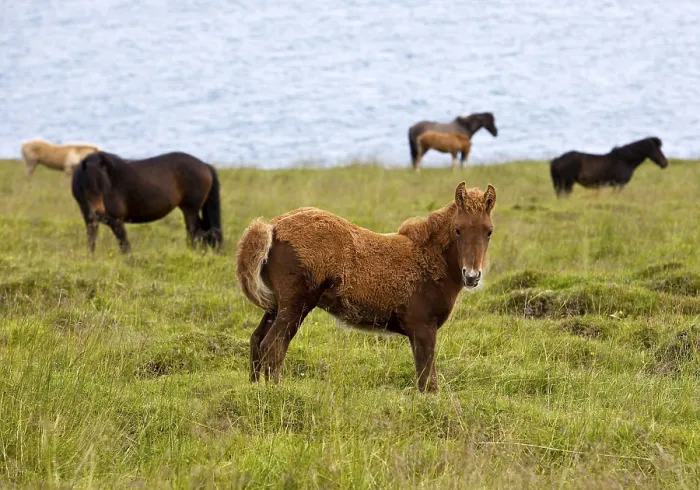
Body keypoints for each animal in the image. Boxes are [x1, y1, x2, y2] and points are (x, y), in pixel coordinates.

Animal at [71, 151, 222, 253]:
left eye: (104, 184)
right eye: (87, 184)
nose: (99, 212)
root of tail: (205, 165)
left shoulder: (116, 220)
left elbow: (124, 244)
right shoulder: (90, 221)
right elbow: (91, 242)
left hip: (191, 209)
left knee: (196, 232)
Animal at [236, 181, 497, 392]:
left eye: (489, 231)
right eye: (458, 230)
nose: (471, 276)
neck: (429, 258)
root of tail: (272, 227)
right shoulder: (423, 328)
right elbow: (427, 381)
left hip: (276, 305)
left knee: (256, 340)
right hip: (295, 305)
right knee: (273, 346)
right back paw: (276, 393)